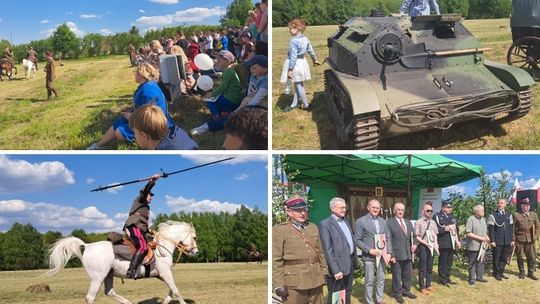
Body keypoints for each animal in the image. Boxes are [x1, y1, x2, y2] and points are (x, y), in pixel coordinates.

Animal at [44, 221, 199, 304]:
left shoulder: (161, 274)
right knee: (90, 297)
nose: (196, 252)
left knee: (109, 292)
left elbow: (171, 289)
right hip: (98, 278)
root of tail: (87, 245)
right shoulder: (165, 272)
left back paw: (128, 302)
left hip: (108, 276)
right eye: (195, 237)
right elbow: (176, 290)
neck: (163, 245)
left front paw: (166, 300)